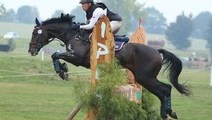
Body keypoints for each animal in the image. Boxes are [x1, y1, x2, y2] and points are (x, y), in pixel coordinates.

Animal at [27, 13, 191, 119]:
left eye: (36, 33)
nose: (31, 50)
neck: (73, 35)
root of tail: (157, 52)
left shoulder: (77, 58)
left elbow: (55, 54)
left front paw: (62, 71)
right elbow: (55, 55)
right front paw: (63, 69)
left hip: (145, 77)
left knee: (165, 89)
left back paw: (167, 112)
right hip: (144, 78)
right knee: (164, 90)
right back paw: (168, 112)